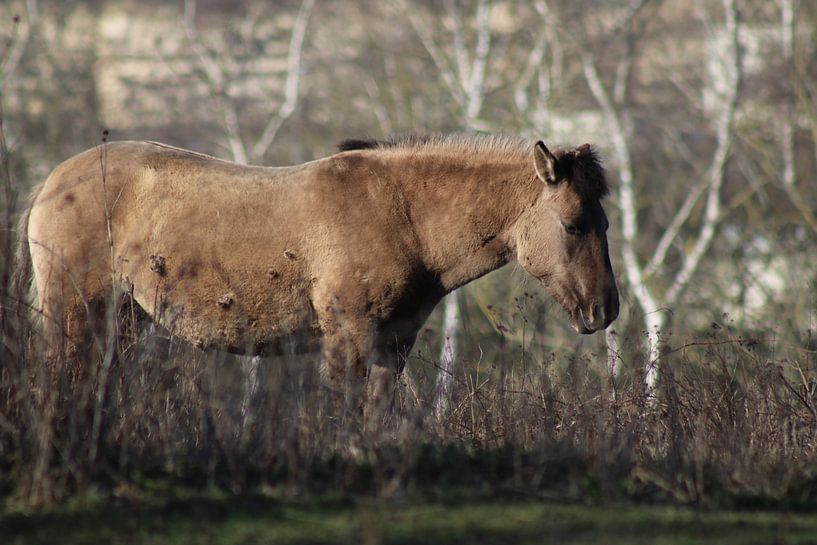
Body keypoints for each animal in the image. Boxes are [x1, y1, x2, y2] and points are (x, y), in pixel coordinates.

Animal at [18, 133, 619, 414]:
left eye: (606, 222)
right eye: (574, 225)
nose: (605, 309)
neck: (401, 214)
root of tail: (52, 181)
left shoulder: (391, 345)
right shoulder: (347, 337)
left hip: (120, 322)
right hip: (73, 318)